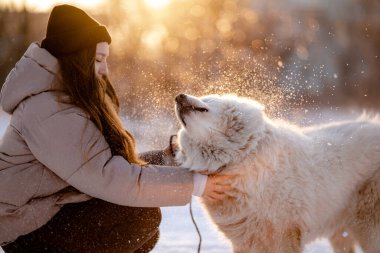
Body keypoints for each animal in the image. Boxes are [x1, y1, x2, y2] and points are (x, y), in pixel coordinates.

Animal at [173, 93, 380, 253]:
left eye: (207, 99)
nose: (178, 96)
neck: (240, 158)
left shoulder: (283, 236)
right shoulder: (245, 242)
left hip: (369, 231)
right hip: (341, 233)